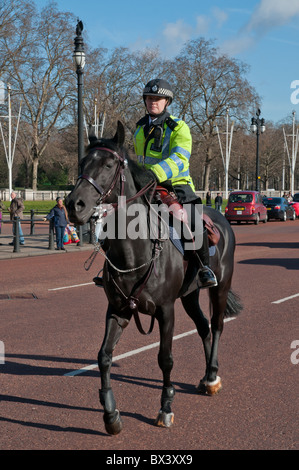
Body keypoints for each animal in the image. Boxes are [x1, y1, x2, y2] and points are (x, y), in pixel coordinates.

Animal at [65, 121, 241, 434]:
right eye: (82, 163)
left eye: (109, 164)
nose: (74, 204)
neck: (134, 250)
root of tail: (219, 216)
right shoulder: (118, 310)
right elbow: (104, 356)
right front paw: (111, 413)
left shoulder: (165, 310)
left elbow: (165, 359)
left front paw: (166, 407)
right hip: (190, 295)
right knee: (204, 327)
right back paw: (207, 378)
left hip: (219, 287)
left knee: (218, 325)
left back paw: (212, 375)